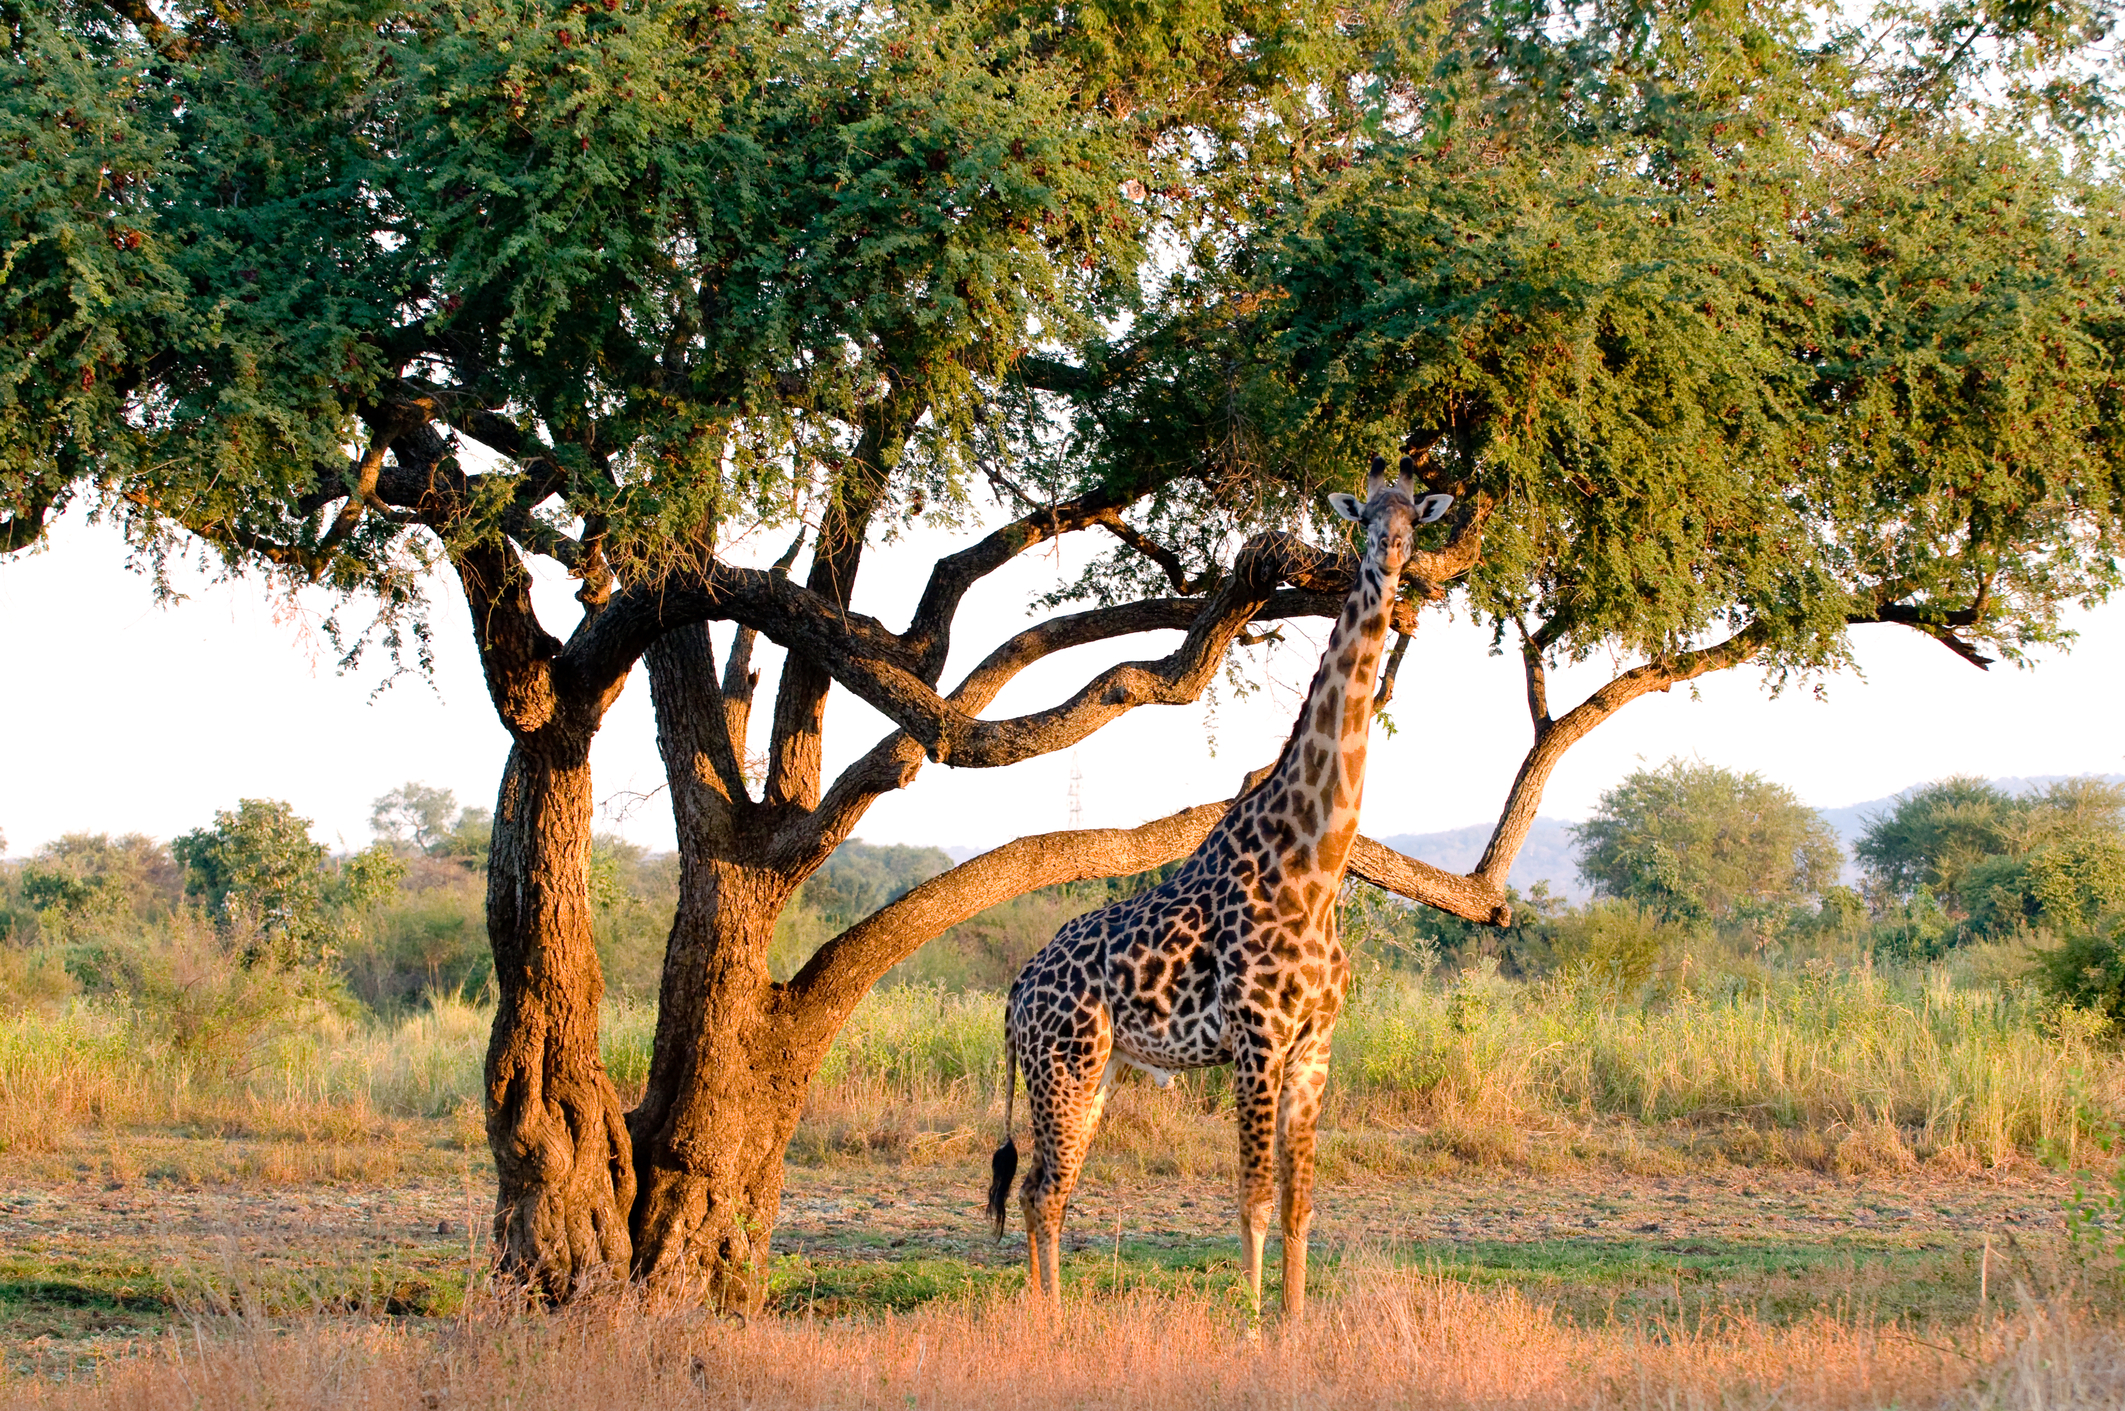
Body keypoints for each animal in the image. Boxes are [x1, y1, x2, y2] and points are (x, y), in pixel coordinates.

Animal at [986, 452, 1453, 1309]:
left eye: (1416, 517)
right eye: (1364, 516)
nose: (1391, 551)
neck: (1313, 861)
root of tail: (1015, 992)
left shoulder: (1314, 1042)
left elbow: (1301, 1202)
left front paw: (1296, 1322)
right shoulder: (1256, 1037)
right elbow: (1253, 1198)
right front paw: (1250, 1320)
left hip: (1093, 1067)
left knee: (1041, 1186)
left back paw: (1048, 1312)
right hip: (1063, 1063)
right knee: (1044, 1187)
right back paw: (1050, 1319)